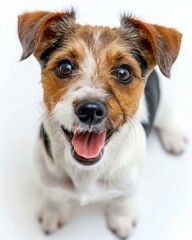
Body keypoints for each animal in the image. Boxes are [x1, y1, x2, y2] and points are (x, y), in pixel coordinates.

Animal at [17, 8, 186, 238]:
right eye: (65, 67)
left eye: (123, 72)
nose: (90, 110)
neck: (86, 172)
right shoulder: (47, 176)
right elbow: (54, 195)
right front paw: (54, 212)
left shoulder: (128, 182)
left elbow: (122, 201)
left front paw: (122, 220)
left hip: (164, 104)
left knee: (168, 118)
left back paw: (174, 138)